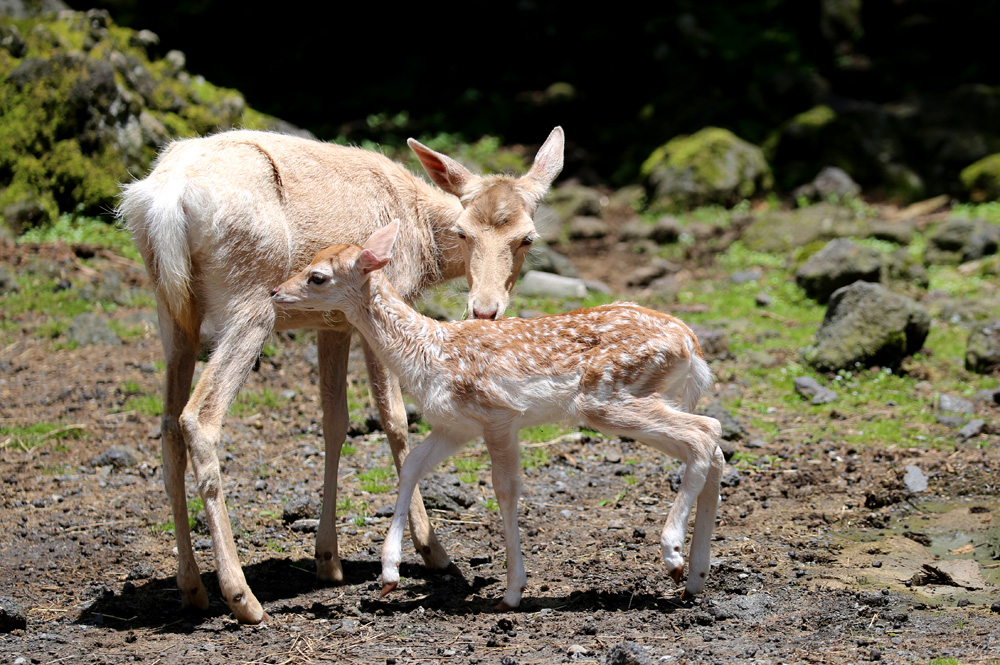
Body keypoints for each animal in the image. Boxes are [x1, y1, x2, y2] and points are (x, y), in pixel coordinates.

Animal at [119, 126, 564, 624]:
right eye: (463, 232)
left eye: (527, 239)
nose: (485, 310)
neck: (423, 243)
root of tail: (163, 200)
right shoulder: (384, 297)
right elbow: (394, 419)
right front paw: (433, 552)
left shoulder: (331, 323)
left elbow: (334, 422)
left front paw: (327, 560)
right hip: (248, 299)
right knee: (198, 417)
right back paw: (242, 597)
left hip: (171, 307)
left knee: (166, 428)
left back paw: (192, 588)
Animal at [272, 220, 728, 608]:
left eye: (317, 276)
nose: (276, 292)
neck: (429, 355)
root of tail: (691, 343)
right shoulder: (454, 425)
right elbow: (412, 466)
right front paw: (388, 575)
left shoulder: (498, 414)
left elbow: (505, 490)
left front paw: (512, 591)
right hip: (639, 396)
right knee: (714, 447)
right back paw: (695, 577)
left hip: (610, 396)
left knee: (704, 432)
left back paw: (673, 556)